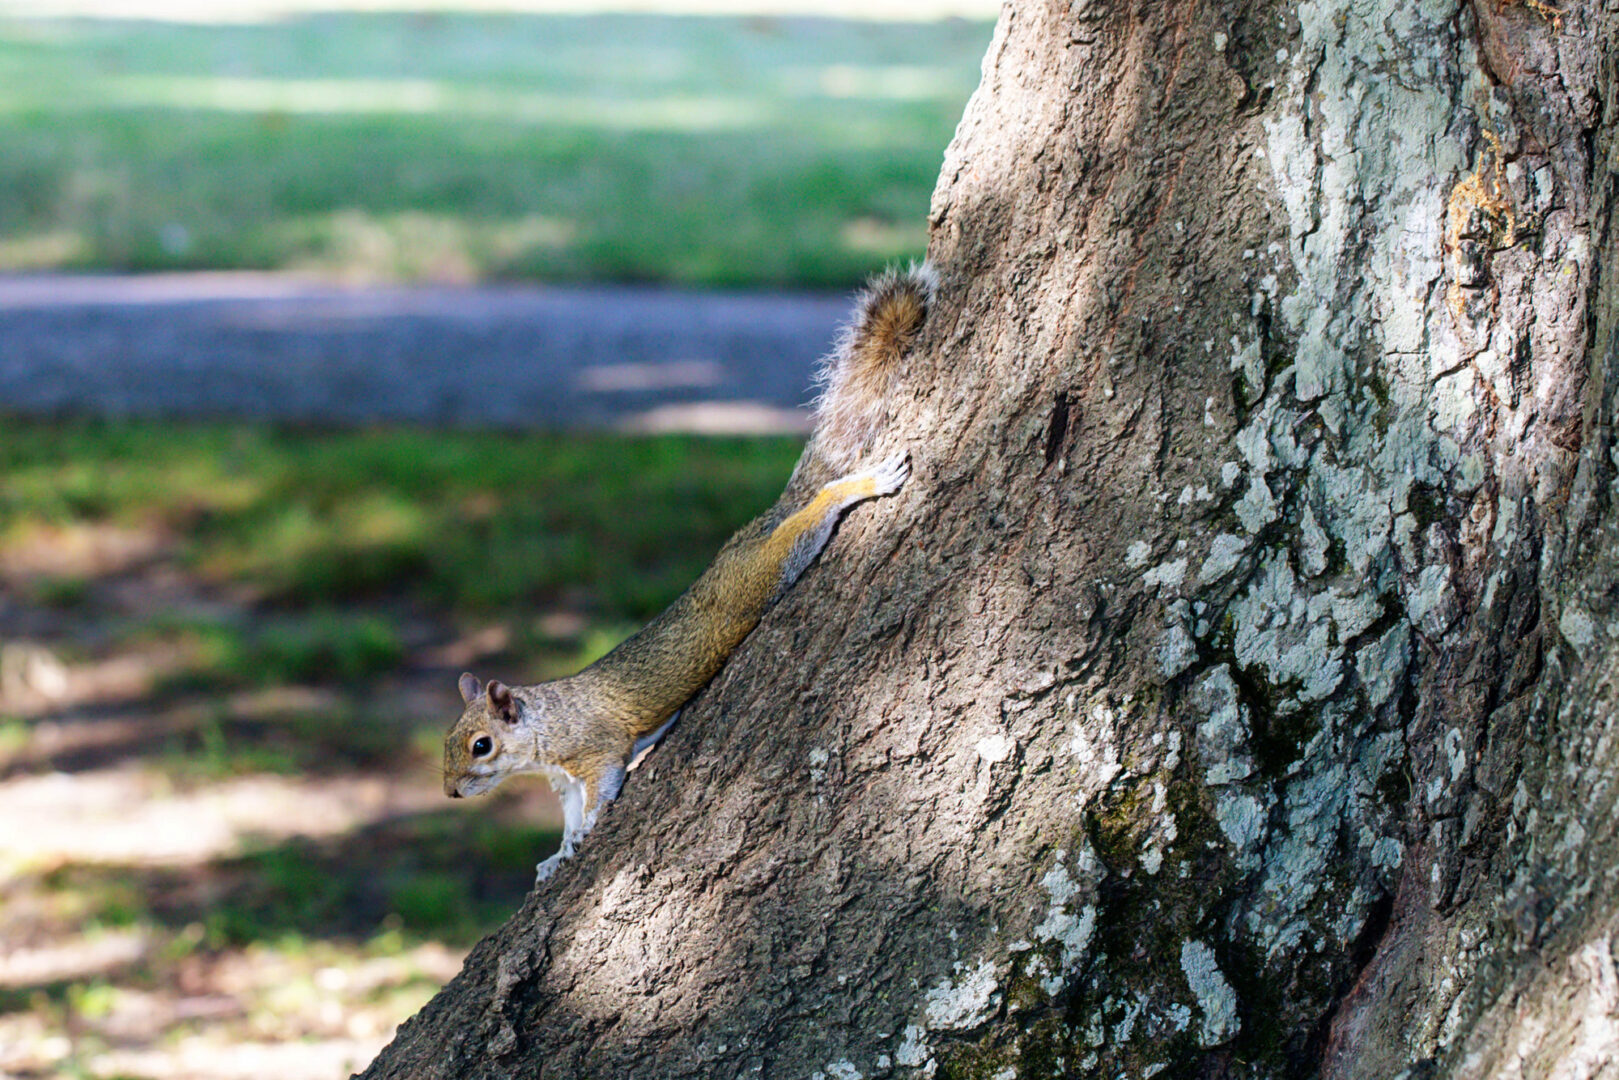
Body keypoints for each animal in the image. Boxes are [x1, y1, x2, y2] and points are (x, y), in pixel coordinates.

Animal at [442, 263, 935, 882]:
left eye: (481, 745)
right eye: (448, 741)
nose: (450, 793)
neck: (544, 727)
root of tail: (757, 529)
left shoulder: (596, 748)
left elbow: (601, 789)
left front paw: (588, 833)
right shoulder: (563, 781)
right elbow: (569, 815)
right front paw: (558, 855)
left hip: (761, 575)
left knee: (813, 515)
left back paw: (860, 486)